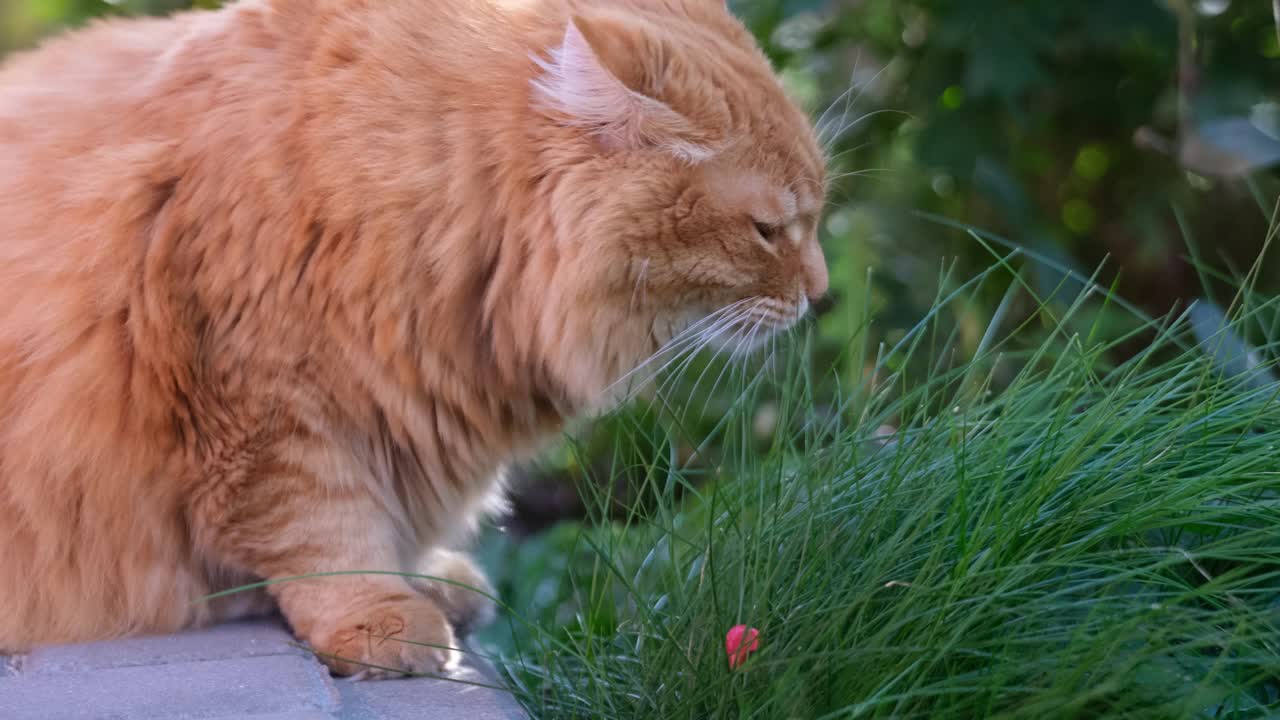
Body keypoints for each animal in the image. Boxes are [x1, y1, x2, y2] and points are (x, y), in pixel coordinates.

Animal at [0, 0, 824, 671]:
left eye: (812, 219)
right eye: (768, 230)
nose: (819, 294)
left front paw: (431, 578)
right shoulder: (260, 414)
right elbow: (326, 533)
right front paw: (381, 619)